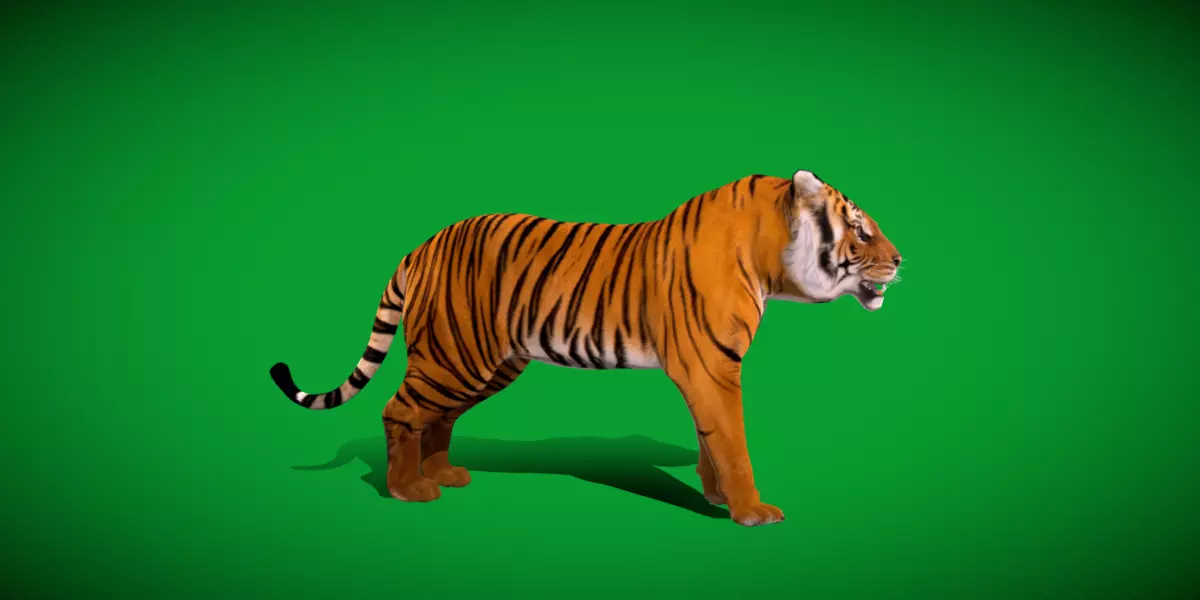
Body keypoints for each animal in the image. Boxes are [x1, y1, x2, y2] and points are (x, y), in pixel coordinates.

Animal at [270, 169, 903, 527]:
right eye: (860, 229)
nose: (900, 261)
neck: (770, 260)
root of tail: (422, 245)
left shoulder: (709, 370)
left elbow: (711, 440)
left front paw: (718, 498)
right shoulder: (712, 368)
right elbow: (733, 443)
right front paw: (752, 512)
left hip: (485, 365)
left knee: (437, 417)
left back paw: (445, 473)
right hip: (454, 356)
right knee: (400, 410)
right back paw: (410, 491)